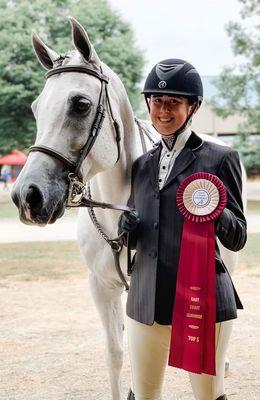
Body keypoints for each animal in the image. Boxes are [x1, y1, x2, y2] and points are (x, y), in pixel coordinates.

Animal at [11, 18, 246, 400]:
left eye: (80, 104)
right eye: (35, 107)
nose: (27, 196)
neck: (115, 212)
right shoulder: (101, 287)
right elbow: (116, 353)